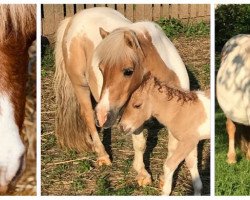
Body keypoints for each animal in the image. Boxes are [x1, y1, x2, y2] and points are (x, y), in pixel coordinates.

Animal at [53, 7, 188, 186]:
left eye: (128, 71)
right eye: (101, 69)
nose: (102, 114)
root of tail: (74, 18)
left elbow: (172, 148)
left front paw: (164, 181)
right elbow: (140, 144)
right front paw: (142, 175)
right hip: (80, 86)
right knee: (88, 116)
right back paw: (103, 155)